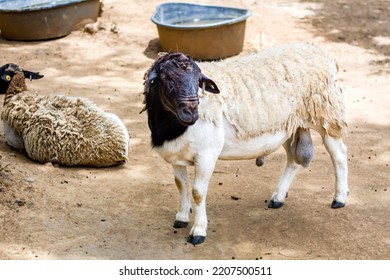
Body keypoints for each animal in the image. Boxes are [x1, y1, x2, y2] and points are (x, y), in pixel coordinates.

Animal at [143, 42, 350, 245]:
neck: (173, 128)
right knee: (293, 160)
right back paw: (278, 197)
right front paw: (181, 218)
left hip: (326, 114)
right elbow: (181, 186)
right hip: (288, 126)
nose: (191, 113)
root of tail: (317, 49)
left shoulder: (206, 154)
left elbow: (197, 192)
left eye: (199, 82)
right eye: (166, 79)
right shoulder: (176, 154)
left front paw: (198, 231)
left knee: (339, 154)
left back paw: (339, 198)